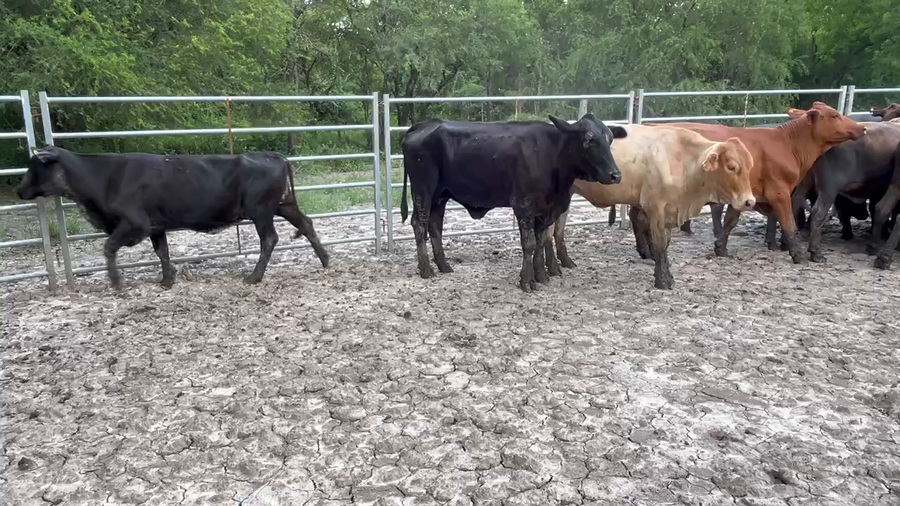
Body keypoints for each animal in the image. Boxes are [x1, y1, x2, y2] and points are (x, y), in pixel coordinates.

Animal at [16, 146, 330, 290]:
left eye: (34, 166)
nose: (19, 190)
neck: (105, 177)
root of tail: (273, 155)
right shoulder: (156, 226)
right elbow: (162, 252)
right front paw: (167, 280)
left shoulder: (136, 223)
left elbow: (109, 247)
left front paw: (116, 281)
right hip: (283, 205)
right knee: (306, 224)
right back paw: (325, 260)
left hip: (261, 211)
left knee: (269, 239)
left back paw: (254, 276)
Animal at [399, 114, 626, 292]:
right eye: (589, 139)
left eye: (610, 139)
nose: (615, 175)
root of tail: (425, 124)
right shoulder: (523, 204)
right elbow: (529, 243)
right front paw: (527, 281)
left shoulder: (546, 210)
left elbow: (540, 240)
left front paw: (541, 275)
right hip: (423, 189)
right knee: (419, 223)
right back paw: (426, 269)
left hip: (440, 195)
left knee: (435, 225)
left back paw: (443, 265)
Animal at [548, 124, 756, 289]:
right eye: (731, 167)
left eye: (749, 166)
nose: (750, 201)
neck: (681, 159)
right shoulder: (656, 208)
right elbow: (660, 244)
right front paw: (662, 281)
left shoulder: (670, 211)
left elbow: (666, 244)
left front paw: (667, 275)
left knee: (558, 230)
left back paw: (566, 262)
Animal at [654, 102, 866, 264]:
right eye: (835, 115)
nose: (862, 127)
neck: (787, 144)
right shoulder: (779, 192)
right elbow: (788, 223)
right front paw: (797, 254)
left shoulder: (745, 194)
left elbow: (730, 221)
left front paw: (720, 248)